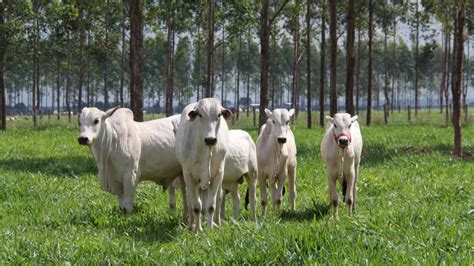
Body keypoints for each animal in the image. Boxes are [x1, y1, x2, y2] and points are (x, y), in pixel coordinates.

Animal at [175, 98, 232, 231]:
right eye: (200, 115)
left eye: (219, 115)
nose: (210, 139)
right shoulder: (189, 175)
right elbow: (196, 206)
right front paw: (198, 230)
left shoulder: (217, 175)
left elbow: (211, 206)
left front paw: (210, 229)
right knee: (191, 200)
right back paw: (192, 224)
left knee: (217, 199)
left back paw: (216, 222)